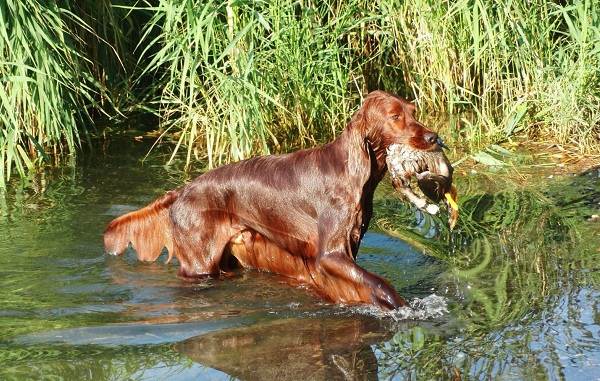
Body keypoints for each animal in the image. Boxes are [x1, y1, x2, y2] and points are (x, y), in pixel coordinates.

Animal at [104, 90, 450, 310]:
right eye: (395, 116)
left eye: (413, 112)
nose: (434, 138)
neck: (353, 170)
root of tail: (181, 191)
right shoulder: (330, 255)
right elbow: (376, 283)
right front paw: (401, 305)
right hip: (199, 263)